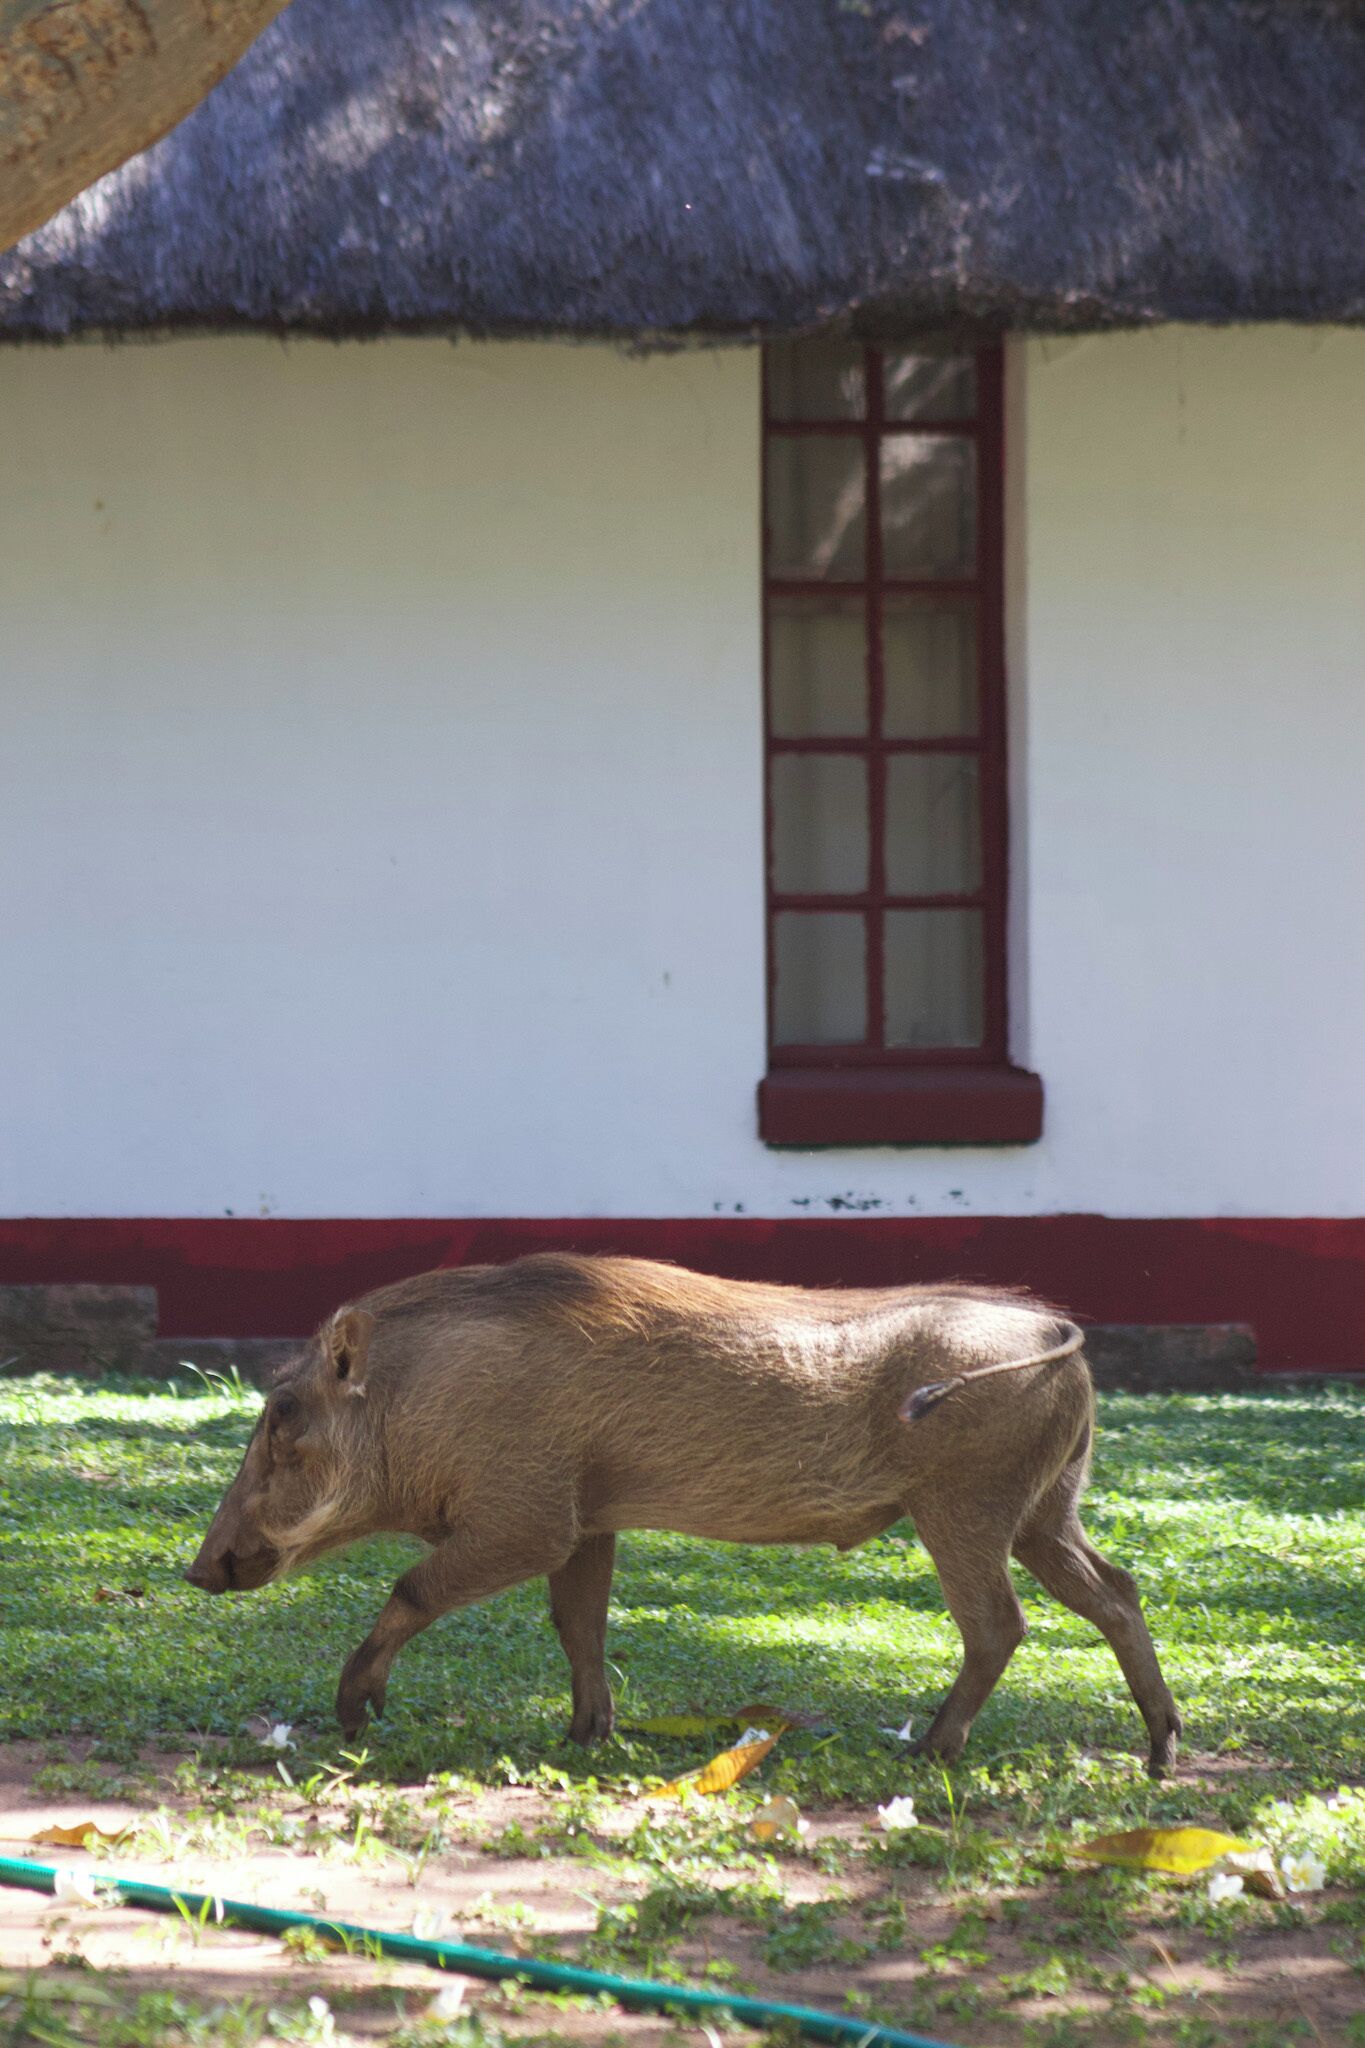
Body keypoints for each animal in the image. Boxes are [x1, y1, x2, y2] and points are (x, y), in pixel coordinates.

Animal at [186, 1254, 1182, 1775]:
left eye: (283, 1413)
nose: (197, 1570)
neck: (413, 1395)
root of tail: (1054, 1337)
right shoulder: (585, 1525)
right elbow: (578, 1626)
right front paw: (586, 1736)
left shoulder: (524, 1521)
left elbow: (412, 1588)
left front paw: (357, 1712)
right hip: (1043, 1515)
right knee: (1116, 1595)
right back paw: (1161, 1748)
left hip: (965, 1513)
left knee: (998, 1625)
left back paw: (931, 1750)